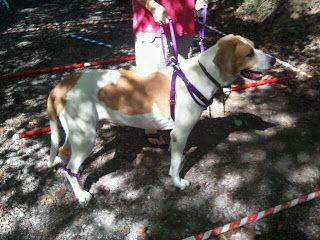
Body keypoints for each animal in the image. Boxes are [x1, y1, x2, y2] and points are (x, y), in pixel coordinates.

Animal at [47, 33, 276, 203]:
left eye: (255, 47)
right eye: (249, 53)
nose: (274, 59)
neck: (201, 74)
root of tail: (65, 83)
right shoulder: (180, 133)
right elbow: (176, 163)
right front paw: (178, 182)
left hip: (78, 133)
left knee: (63, 154)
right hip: (85, 136)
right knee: (71, 169)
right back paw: (81, 195)